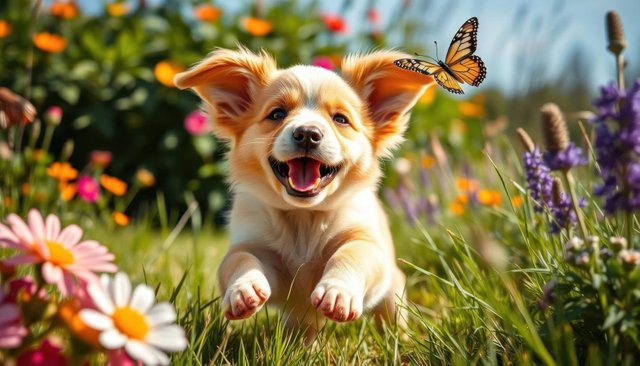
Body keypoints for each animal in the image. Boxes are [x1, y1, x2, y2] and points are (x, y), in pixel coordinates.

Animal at [175, 48, 436, 338]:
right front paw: (243, 289)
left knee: (391, 316)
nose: (308, 133)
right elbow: (241, 259)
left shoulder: (365, 241)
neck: (303, 216)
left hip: (391, 293)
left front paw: (337, 292)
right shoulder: (255, 248)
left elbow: (352, 254)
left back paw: (399, 339)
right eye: (277, 114)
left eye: (340, 119)